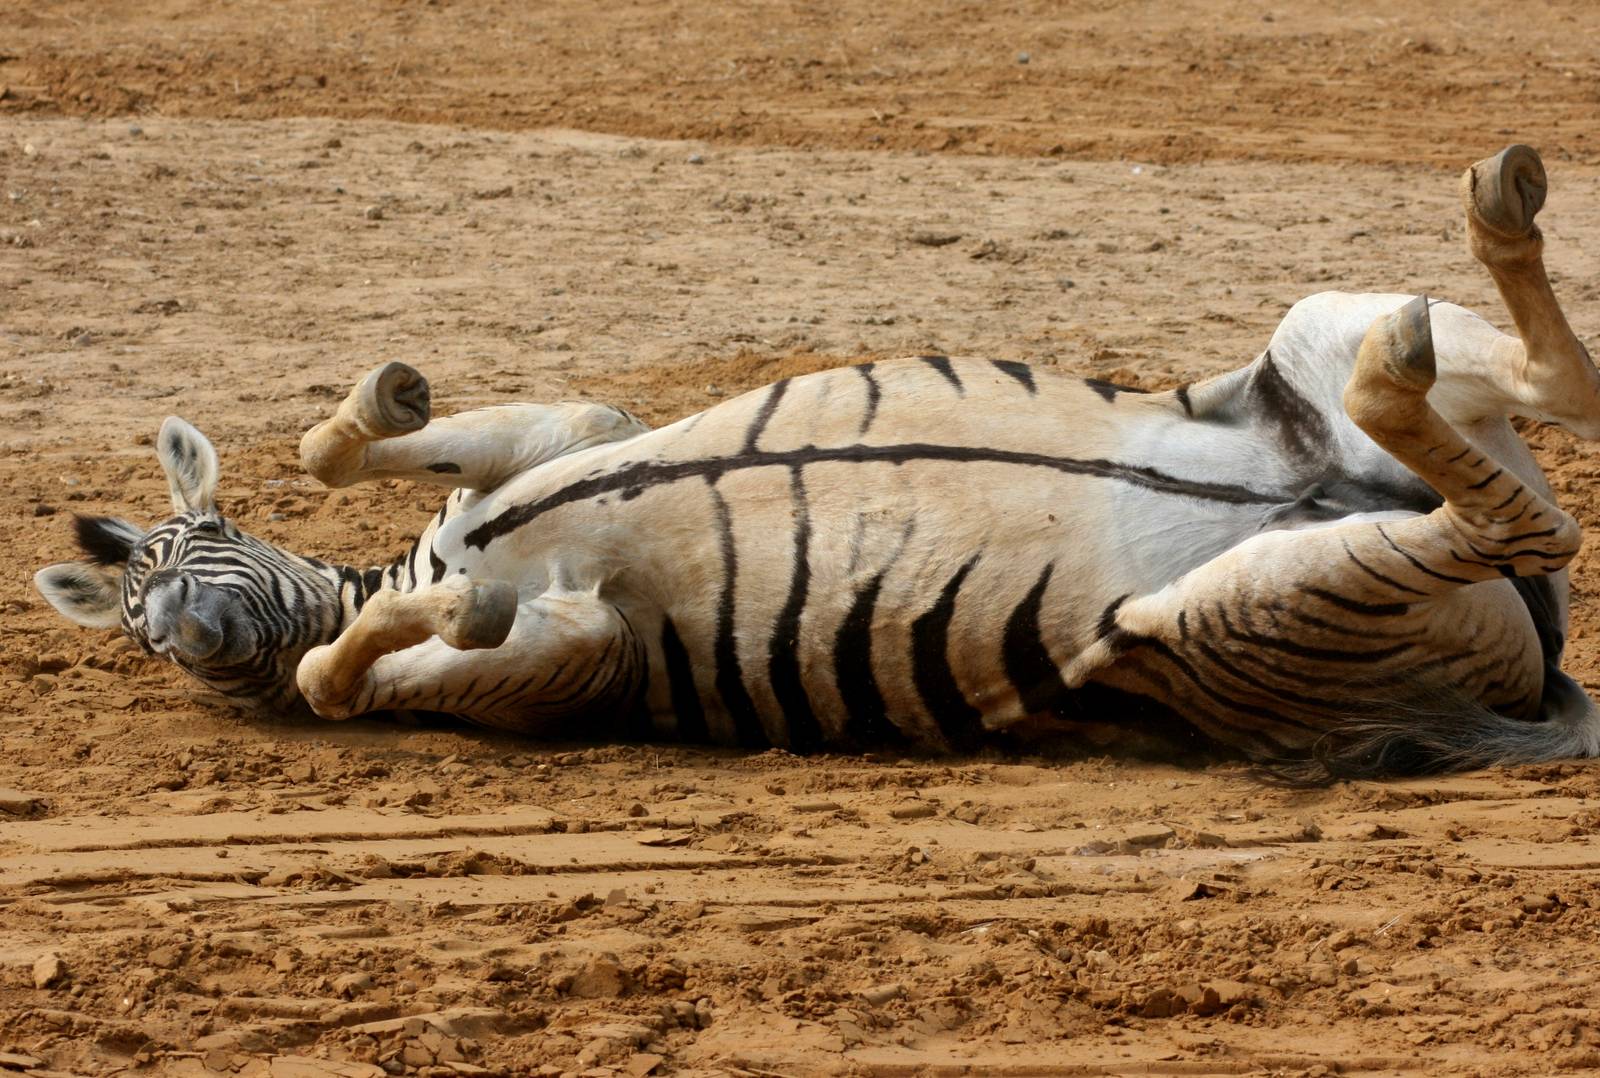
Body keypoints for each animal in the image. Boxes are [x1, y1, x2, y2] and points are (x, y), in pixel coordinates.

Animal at [33, 145, 1600, 778]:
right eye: (139, 632)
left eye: (187, 553)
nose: (183, 628)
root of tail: (1537, 668)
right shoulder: (583, 660)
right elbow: (330, 672)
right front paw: (432, 610)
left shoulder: (572, 436)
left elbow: (345, 444)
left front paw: (380, 401)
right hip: (1211, 619)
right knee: (1527, 518)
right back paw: (1422, 341)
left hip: (1298, 359)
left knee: (1548, 412)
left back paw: (1493, 222)